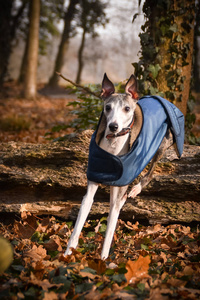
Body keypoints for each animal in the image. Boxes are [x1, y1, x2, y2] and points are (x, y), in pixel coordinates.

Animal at [64, 73, 184, 260]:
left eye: (127, 109)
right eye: (107, 107)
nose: (113, 126)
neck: (113, 145)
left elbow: (109, 229)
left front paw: (103, 260)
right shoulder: (93, 183)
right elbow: (79, 222)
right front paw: (67, 253)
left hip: (162, 144)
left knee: (151, 172)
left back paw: (136, 189)